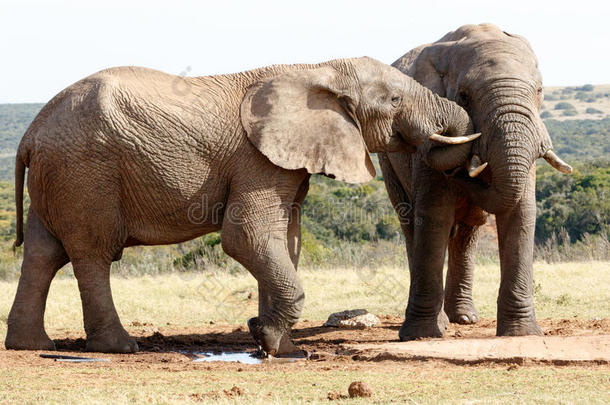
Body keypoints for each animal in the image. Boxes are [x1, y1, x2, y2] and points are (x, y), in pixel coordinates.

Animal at [4, 56, 476, 354]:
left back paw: (31, 345)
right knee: (92, 253)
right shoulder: (256, 159)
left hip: (59, 174)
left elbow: (285, 239)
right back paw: (119, 347)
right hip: (85, 172)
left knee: (43, 253)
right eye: (394, 101)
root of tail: (29, 134)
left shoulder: (285, 162)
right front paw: (264, 338)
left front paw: (280, 349)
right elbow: (246, 235)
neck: (318, 70)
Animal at [378, 21, 572, 338]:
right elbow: (433, 213)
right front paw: (422, 335)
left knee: (467, 232)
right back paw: (444, 322)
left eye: (540, 90)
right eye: (464, 96)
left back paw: (465, 318)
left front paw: (522, 333)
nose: (462, 172)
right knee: (411, 223)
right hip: (388, 160)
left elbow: (520, 211)